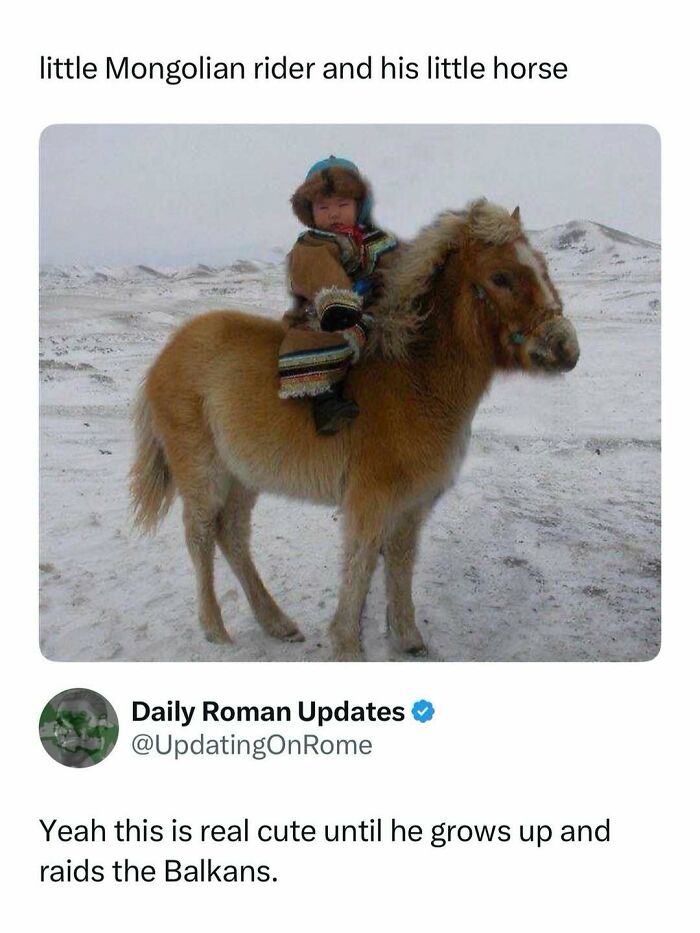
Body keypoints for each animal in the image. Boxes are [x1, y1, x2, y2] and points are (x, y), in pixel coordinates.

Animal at [130, 199, 580, 660]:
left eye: (542, 266)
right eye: (501, 278)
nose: (565, 348)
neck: (415, 379)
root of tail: (166, 355)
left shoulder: (412, 506)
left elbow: (400, 562)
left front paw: (407, 637)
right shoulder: (370, 500)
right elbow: (360, 563)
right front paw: (347, 644)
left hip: (243, 477)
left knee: (233, 536)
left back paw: (277, 623)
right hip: (203, 474)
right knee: (200, 536)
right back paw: (216, 629)